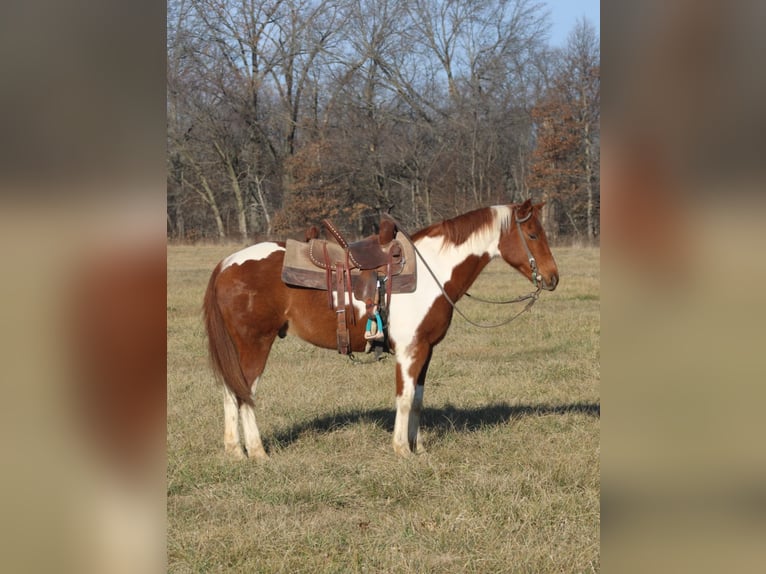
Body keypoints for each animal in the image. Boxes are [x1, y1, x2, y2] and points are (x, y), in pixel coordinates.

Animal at [204, 200, 560, 462]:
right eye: (532, 235)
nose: (553, 277)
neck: (433, 271)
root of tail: (226, 263)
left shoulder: (426, 350)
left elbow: (417, 398)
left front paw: (419, 447)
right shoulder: (410, 349)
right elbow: (404, 397)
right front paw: (401, 449)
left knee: (230, 392)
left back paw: (235, 451)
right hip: (255, 345)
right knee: (245, 393)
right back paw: (258, 452)